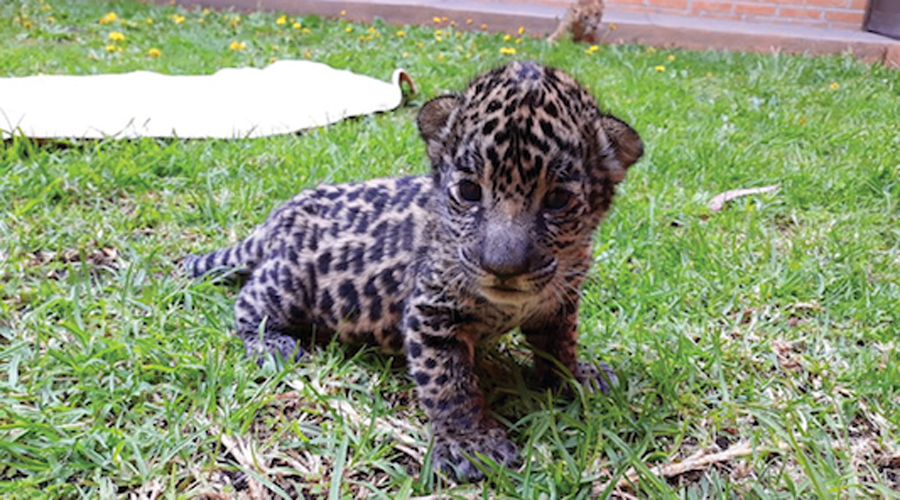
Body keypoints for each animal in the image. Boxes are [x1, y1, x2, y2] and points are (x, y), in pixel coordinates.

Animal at [183, 60, 643, 482]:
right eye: (469, 191)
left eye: (558, 200)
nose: (503, 267)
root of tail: (281, 214)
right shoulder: (431, 312)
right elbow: (448, 382)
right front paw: (470, 442)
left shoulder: (560, 303)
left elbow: (560, 345)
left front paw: (575, 377)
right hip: (289, 282)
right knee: (249, 300)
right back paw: (271, 342)